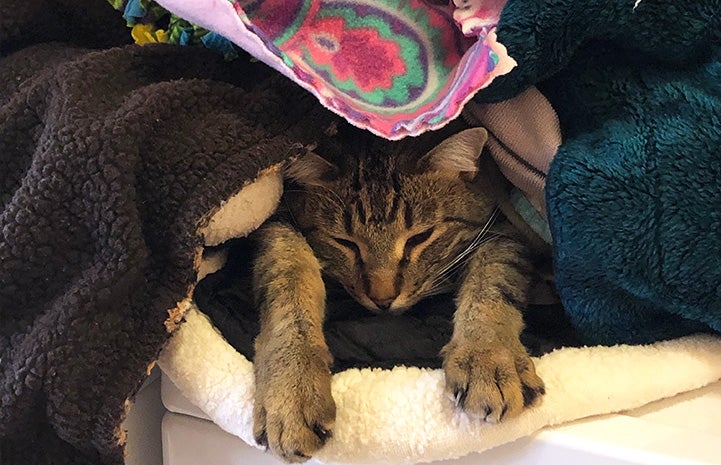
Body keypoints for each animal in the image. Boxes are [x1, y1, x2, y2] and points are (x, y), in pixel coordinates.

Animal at [250, 121, 544, 462]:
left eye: (420, 237)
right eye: (345, 243)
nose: (383, 299)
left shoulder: (504, 231)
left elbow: (493, 283)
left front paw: (488, 357)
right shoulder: (276, 223)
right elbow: (288, 280)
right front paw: (291, 391)